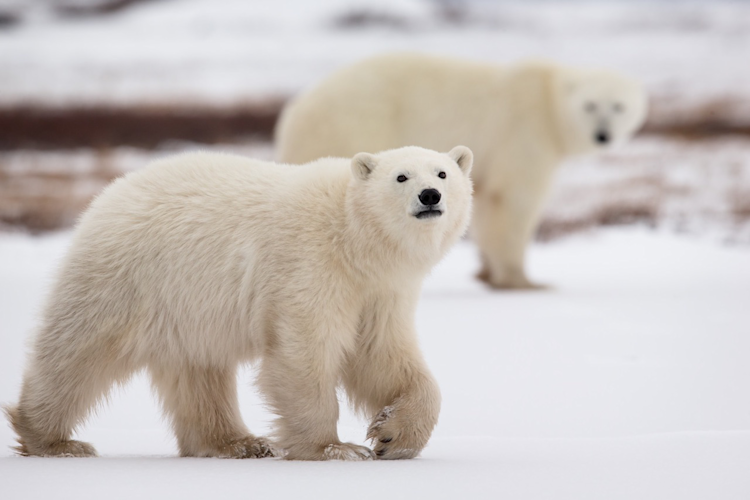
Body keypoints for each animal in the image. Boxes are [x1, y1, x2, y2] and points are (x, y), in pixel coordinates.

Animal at [4, 145, 474, 460]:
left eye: (443, 172)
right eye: (401, 177)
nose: (430, 195)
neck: (353, 239)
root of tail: (108, 194)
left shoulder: (380, 292)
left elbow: (382, 357)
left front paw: (394, 435)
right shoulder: (310, 267)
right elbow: (303, 355)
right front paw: (334, 447)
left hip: (185, 311)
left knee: (199, 373)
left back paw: (238, 442)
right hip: (125, 278)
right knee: (77, 353)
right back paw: (54, 440)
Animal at [275, 53, 648, 289]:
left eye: (619, 106)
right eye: (590, 105)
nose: (603, 135)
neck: (547, 100)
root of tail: (295, 111)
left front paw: (486, 274)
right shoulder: (523, 134)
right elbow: (514, 201)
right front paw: (524, 281)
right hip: (356, 125)